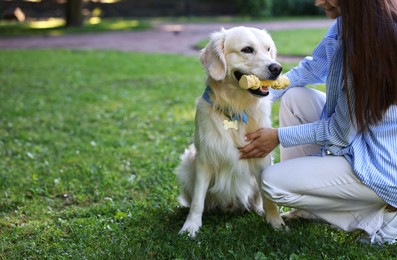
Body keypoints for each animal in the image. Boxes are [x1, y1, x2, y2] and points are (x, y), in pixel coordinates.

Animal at [176, 26, 284, 238]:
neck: (237, 109)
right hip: (188, 161)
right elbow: (197, 201)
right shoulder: (205, 158)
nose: (277, 68)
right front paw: (190, 226)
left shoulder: (262, 156)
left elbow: (268, 199)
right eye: (247, 49)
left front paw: (276, 223)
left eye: (268, 49)